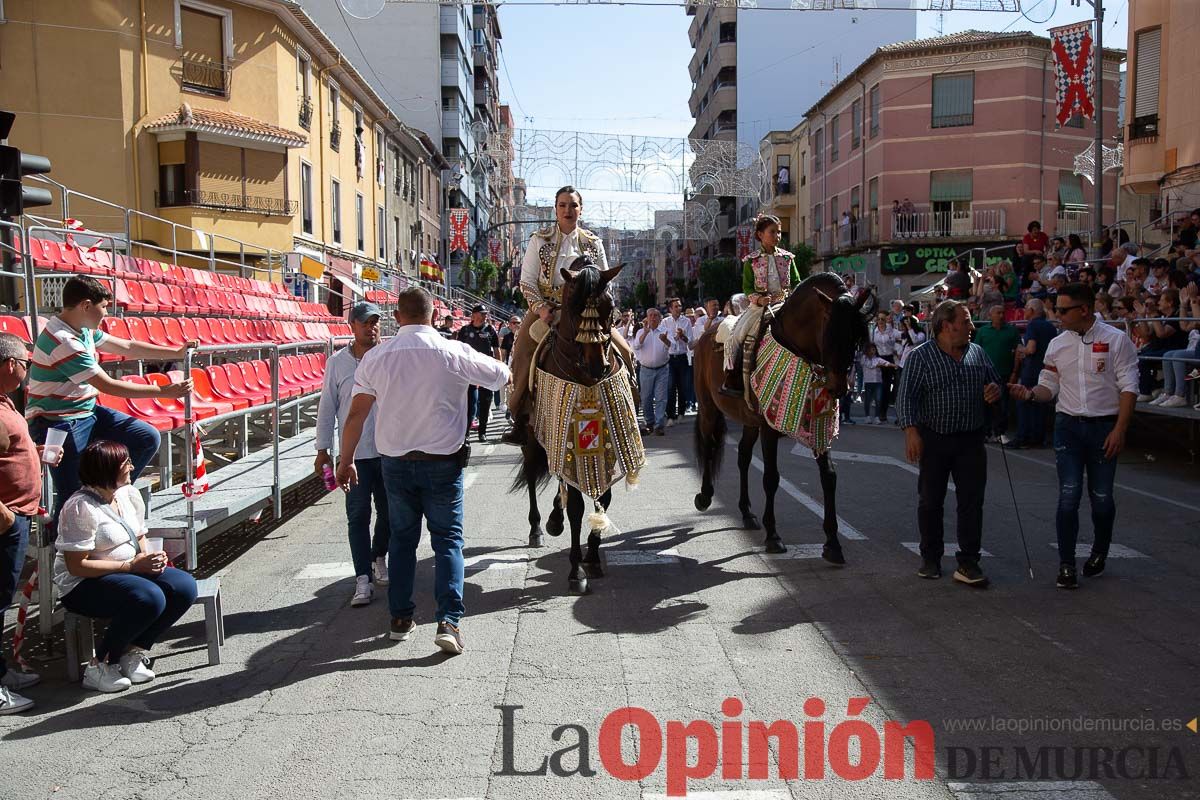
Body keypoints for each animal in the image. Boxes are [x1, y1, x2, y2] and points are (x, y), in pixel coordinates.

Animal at [508, 256, 624, 594]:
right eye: (574, 307)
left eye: (610, 306)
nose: (597, 367)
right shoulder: (566, 436)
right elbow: (576, 508)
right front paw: (576, 571)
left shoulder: (606, 442)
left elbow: (603, 499)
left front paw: (593, 557)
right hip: (531, 438)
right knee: (532, 473)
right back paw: (538, 528)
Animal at [696, 272, 873, 561]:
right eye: (831, 334)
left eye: (856, 338)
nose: (838, 388)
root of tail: (707, 333)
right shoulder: (769, 429)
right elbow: (771, 478)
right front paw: (773, 537)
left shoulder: (818, 427)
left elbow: (829, 476)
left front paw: (833, 543)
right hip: (709, 408)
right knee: (709, 446)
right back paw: (705, 496)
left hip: (748, 420)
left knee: (743, 456)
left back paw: (746, 512)